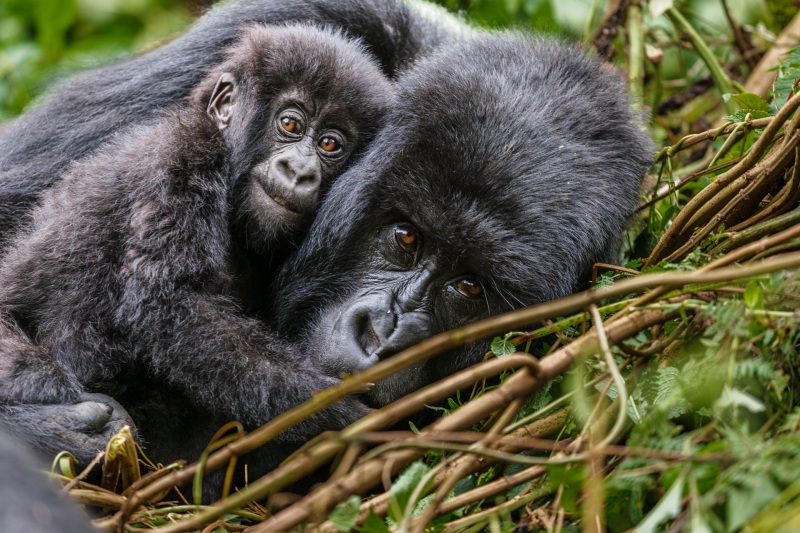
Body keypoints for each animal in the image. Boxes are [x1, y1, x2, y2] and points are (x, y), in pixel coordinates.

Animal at [0, 25, 390, 464]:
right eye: (290, 123)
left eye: (329, 145)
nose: (299, 170)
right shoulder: (186, 153)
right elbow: (168, 301)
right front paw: (332, 405)